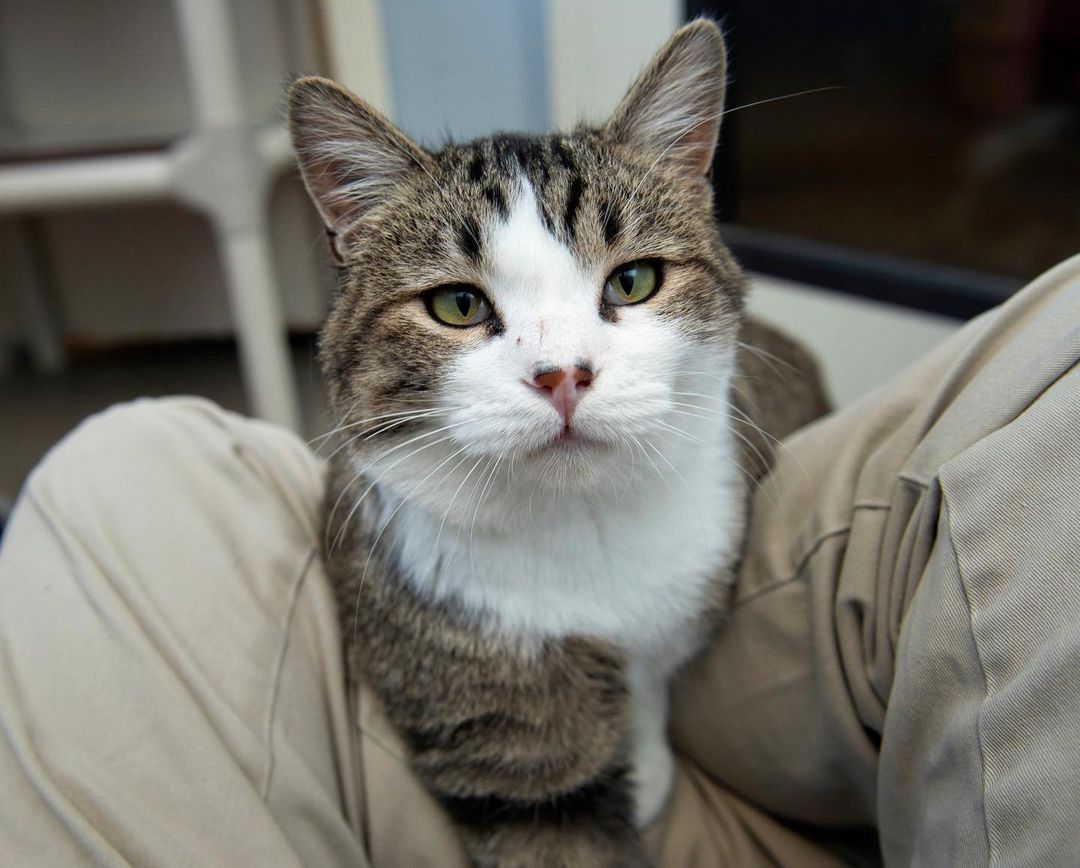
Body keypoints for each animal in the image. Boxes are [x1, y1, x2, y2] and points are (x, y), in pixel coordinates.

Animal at [285, 20, 825, 868]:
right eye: (457, 304)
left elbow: (651, 675)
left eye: (634, 281)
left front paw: (647, 755)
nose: (563, 375)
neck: (579, 523)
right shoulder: (486, 710)